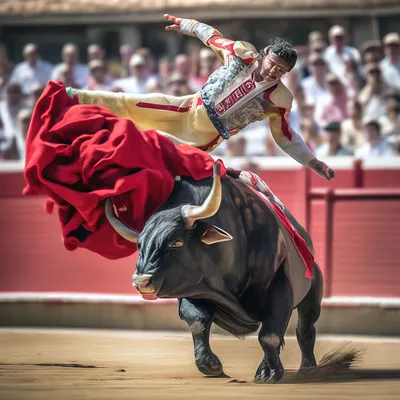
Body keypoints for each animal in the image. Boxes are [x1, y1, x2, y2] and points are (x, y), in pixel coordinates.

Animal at [105, 164, 322, 382]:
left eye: (176, 242)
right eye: (139, 245)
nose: (141, 280)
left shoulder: (280, 283)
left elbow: (270, 336)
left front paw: (269, 372)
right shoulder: (195, 288)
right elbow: (197, 322)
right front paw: (211, 365)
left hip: (312, 296)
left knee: (305, 329)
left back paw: (307, 367)